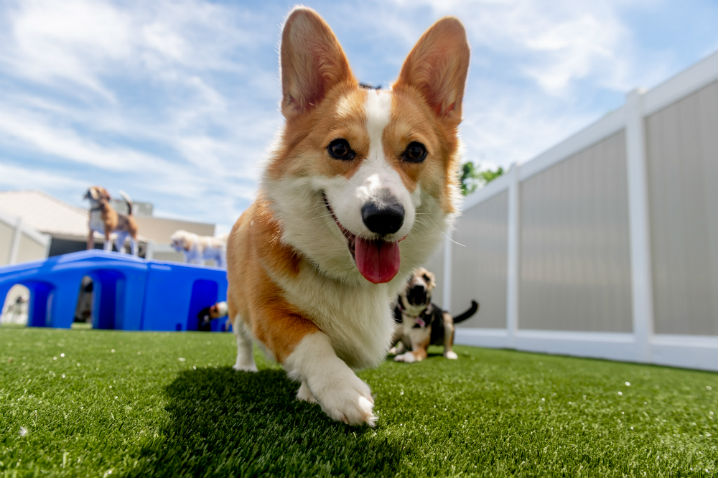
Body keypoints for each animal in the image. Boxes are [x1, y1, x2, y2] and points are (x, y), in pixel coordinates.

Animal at [226, 6, 472, 426]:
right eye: (339, 148)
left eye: (416, 151)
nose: (385, 217)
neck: (345, 274)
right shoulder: (267, 311)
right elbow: (313, 340)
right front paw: (343, 393)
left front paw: (313, 392)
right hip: (237, 303)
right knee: (242, 337)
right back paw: (245, 366)